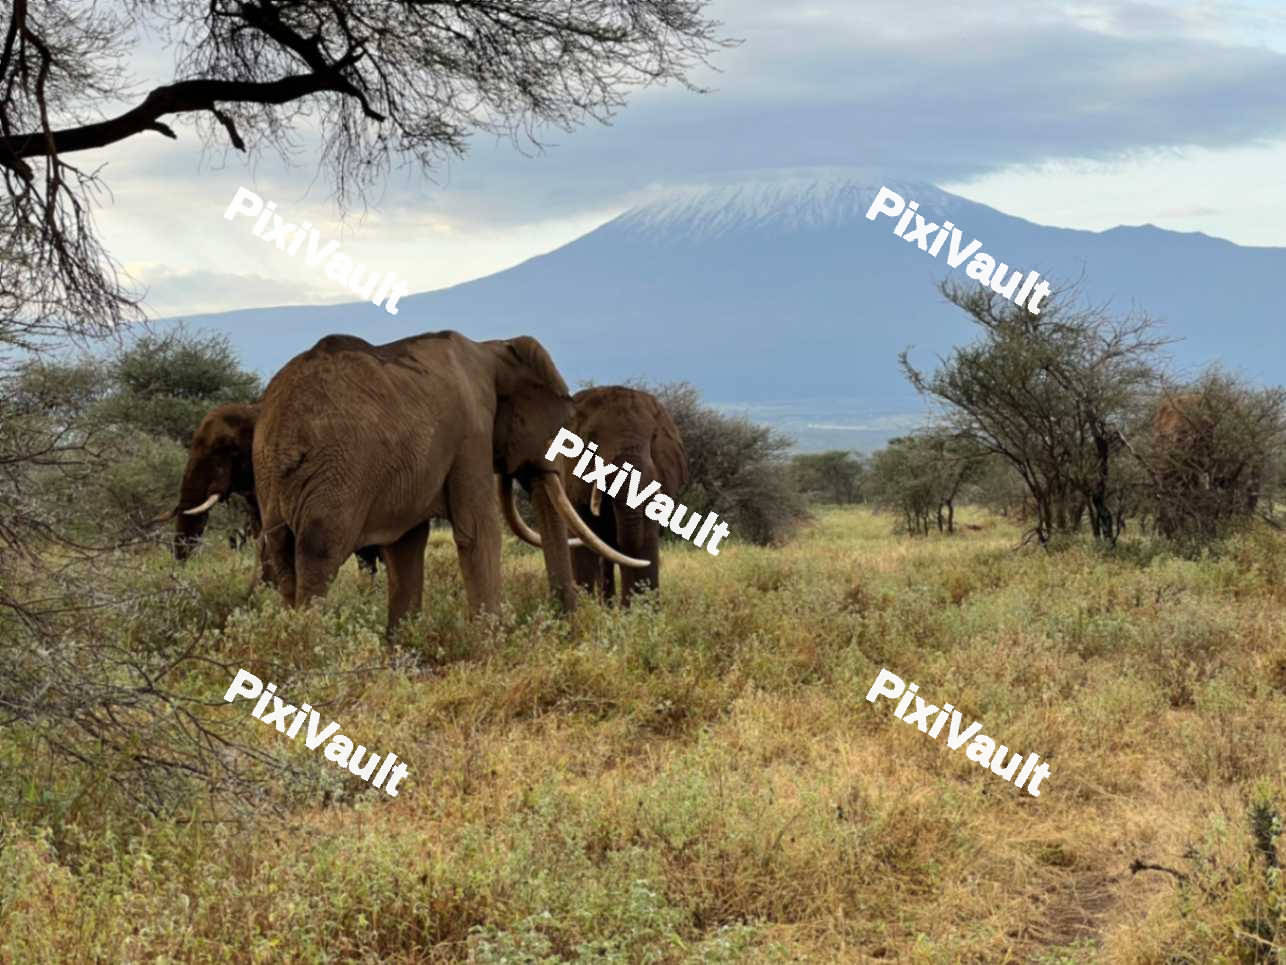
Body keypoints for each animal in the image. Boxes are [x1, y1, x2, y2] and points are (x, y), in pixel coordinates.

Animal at [252, 331, 644, 633]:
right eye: (559, 430)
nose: (566, 628)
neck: (493, 350)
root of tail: (284, 429)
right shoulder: (471, 433)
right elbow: (480, 531)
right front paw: (493, 645)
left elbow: (406, 545)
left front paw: (402, 650)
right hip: (338, 470)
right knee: (320, 554)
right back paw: (310, 645)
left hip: (270, 477)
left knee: (284, 557)